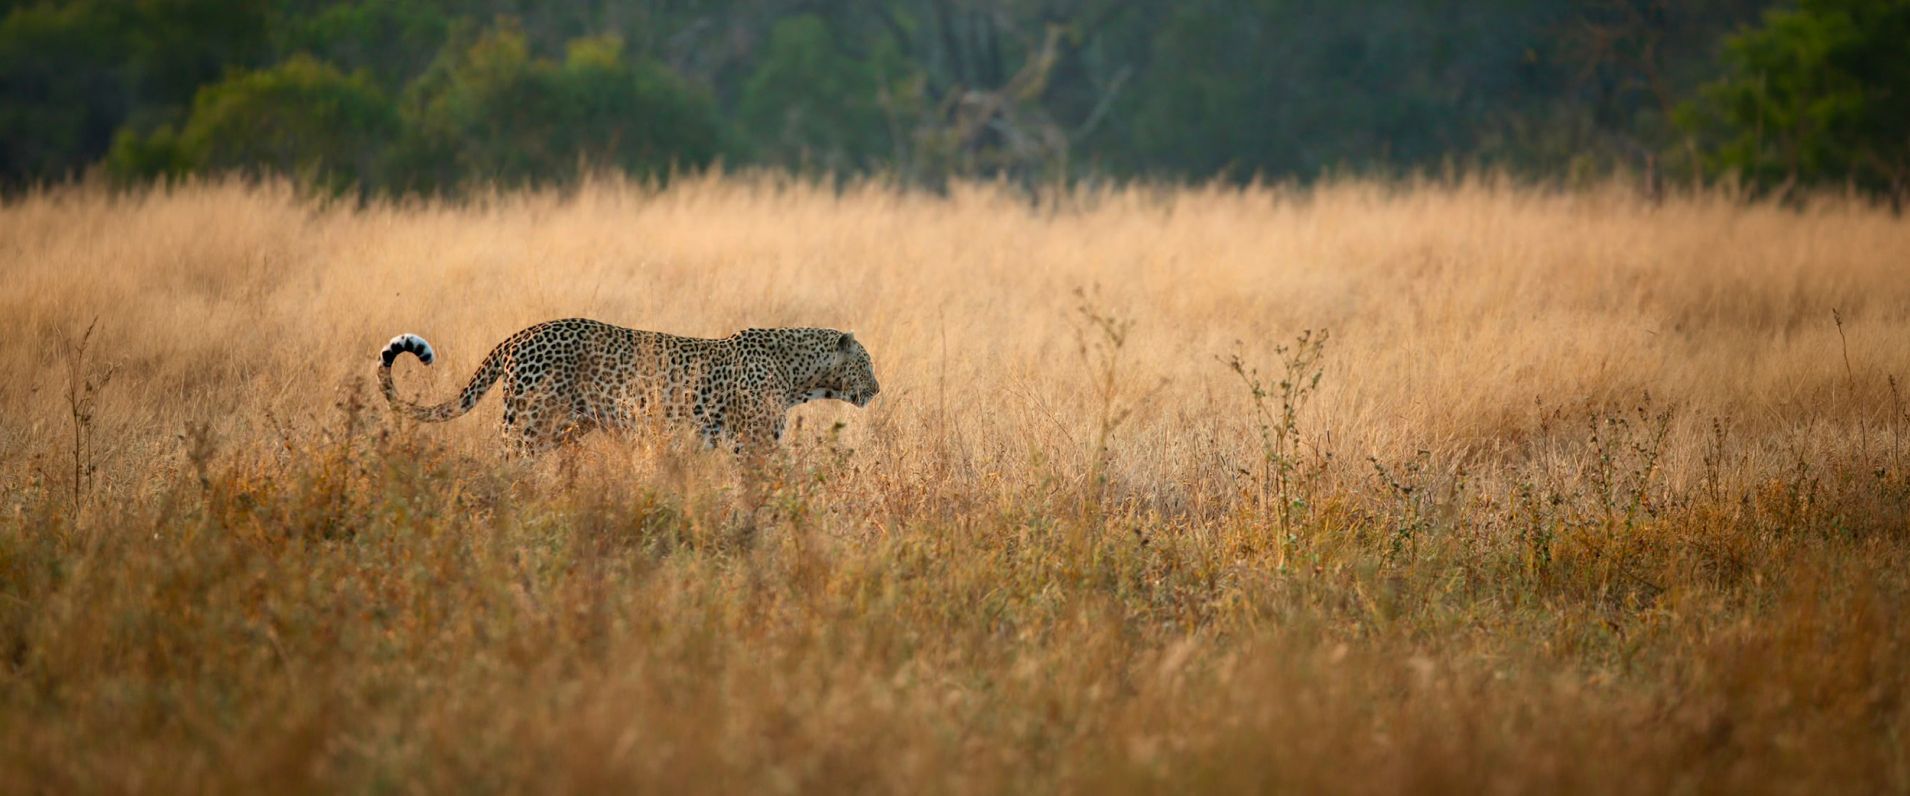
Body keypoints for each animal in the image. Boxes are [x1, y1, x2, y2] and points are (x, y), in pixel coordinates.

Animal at [377, 318, 879, 453]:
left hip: (564, 428)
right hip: (526, 426)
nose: (877, 389)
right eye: (866, 363)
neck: (801, 376)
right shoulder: (753, 443)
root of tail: (520, 334)